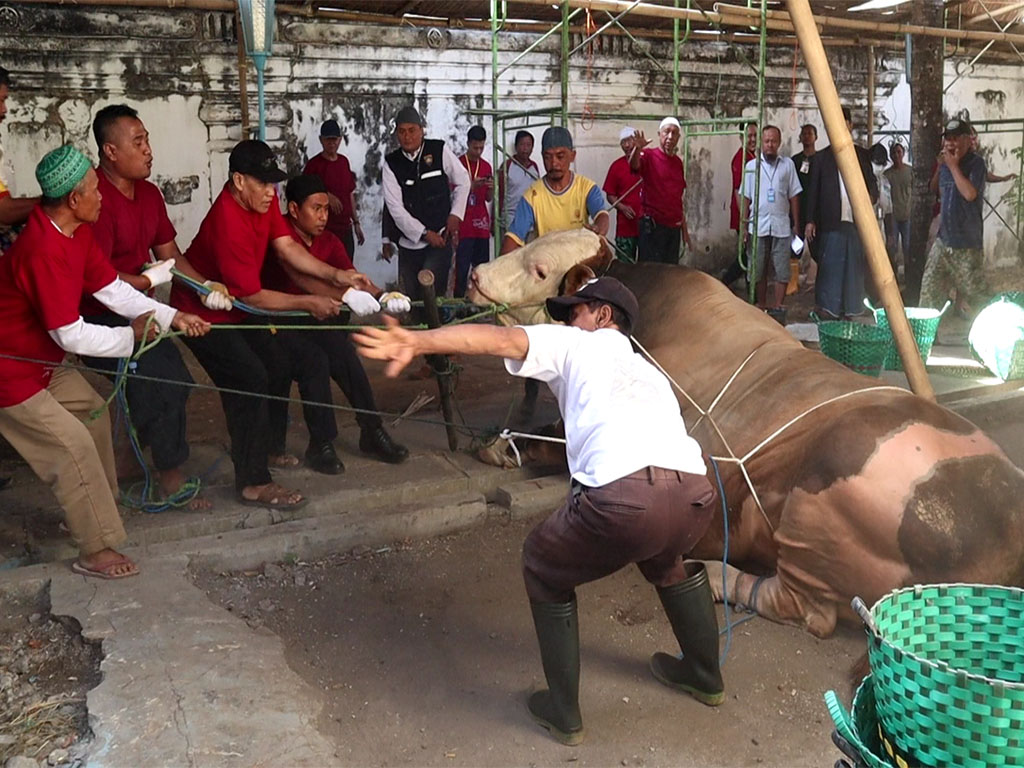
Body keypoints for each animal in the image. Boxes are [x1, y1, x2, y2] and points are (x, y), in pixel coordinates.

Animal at [468, 228, 1024, 638]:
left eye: (541, 269)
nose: (475, 274)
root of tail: (1003, 531)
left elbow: (545, 442)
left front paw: (498, 447)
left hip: (814, 508)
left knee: (810, 611)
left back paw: (718, 578)